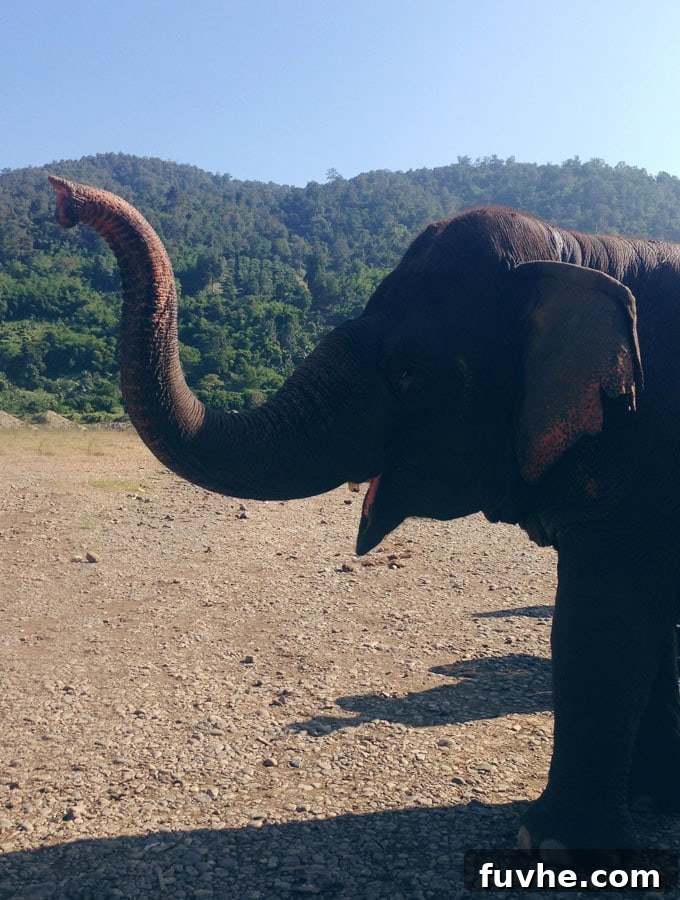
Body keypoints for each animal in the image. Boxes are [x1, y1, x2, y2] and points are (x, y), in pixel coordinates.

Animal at [49, 175, 680, 856]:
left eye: (409, 373)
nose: (64, 199)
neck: (578, 250)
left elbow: (603, 623)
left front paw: (558, 847)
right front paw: (651, 800)